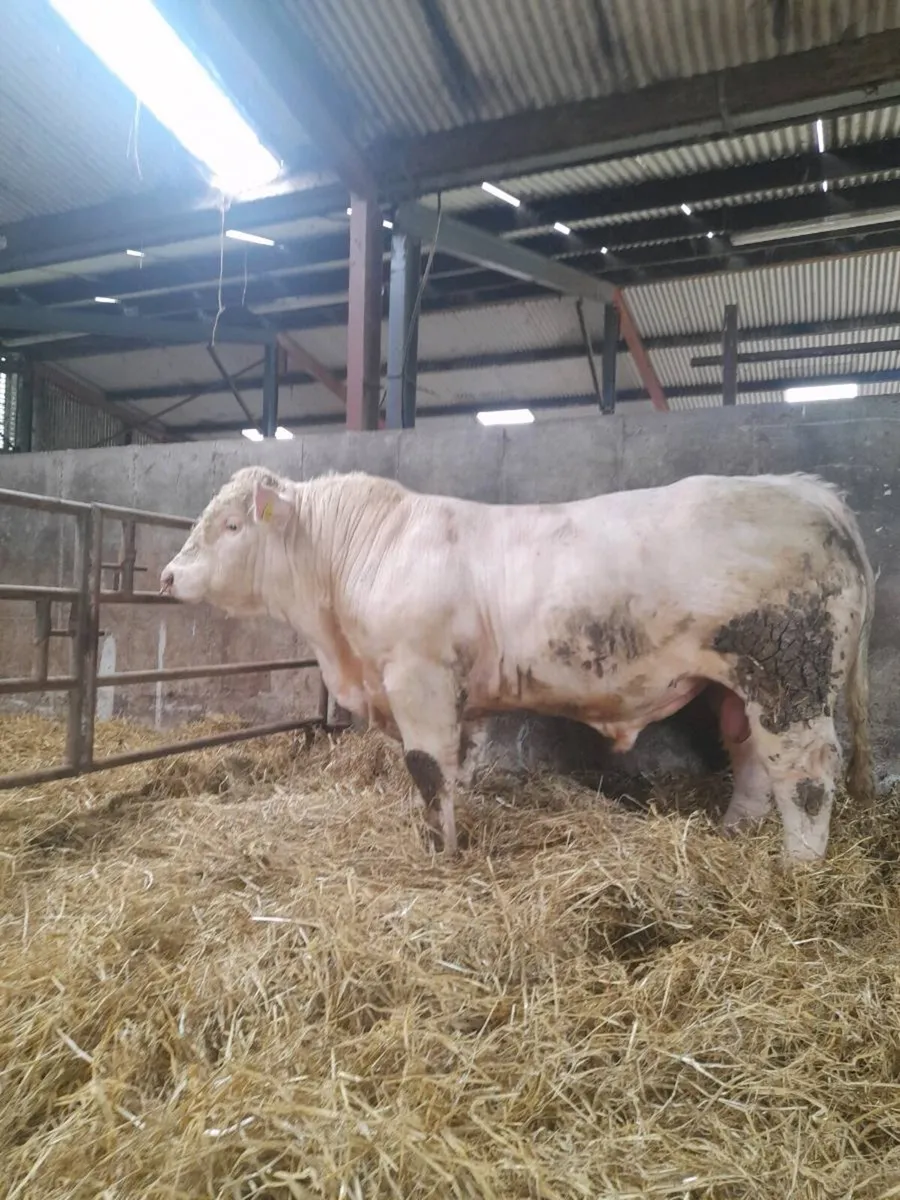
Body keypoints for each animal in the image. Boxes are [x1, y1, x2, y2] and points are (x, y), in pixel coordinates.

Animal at [160, 467, 875, 863]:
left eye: (230, 526)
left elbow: (426, 769)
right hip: (742, 684)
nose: (166, 575)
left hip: (790, 676)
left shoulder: (417, 676)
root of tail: (811, 493)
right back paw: (736, 833)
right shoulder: (460, 696)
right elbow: (459, 765)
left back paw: (797, 868)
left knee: (806, 771)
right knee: (751, 754)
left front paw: (440, 851)